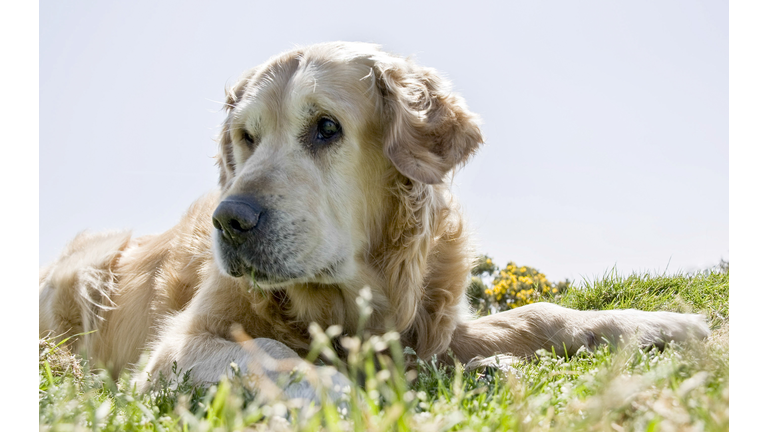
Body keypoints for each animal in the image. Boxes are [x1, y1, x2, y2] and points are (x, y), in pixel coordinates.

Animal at [37, 42, 708, 400]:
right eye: (245, 138)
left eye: (326, 127)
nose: (229, 221)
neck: (355, 294)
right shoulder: (177, 348)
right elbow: (271, 354)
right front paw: (351, 394)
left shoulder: (431, 328)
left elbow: (540, 315)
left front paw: (661, 324)